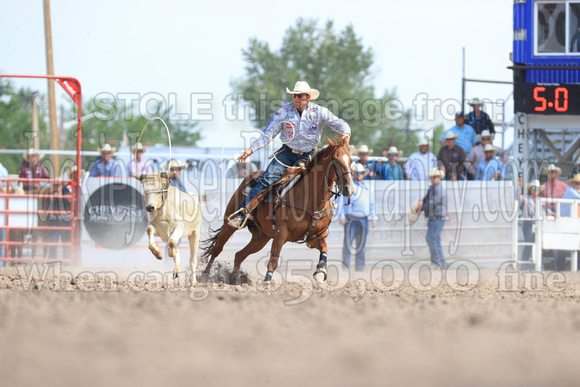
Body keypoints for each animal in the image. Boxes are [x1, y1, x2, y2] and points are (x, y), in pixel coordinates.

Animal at [199, 138, 354, 284]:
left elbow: (325, 249)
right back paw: (204, 277)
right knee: (217, 249)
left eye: (351, 161)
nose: (349, 189)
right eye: (336, 160)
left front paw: (320, 273)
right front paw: (267, 281)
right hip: (229, 223)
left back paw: (235, 280)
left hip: (261, 237)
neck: (311, 199)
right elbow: (273, 260)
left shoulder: (317, 236)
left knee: (239, 255)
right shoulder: (281, 233)